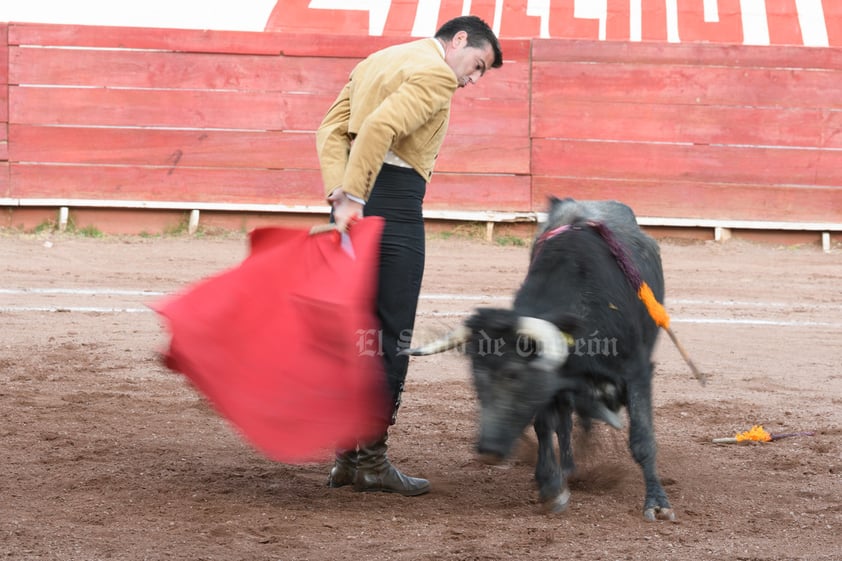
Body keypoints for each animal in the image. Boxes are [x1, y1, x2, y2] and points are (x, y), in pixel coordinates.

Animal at [406, 197, 676, 520]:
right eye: (476, 377)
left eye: (515, 375)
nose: (488, 450)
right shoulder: (553, 384)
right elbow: (547, 427)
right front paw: (551, 487)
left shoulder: (637, 372)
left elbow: (642, 437)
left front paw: (657, 502)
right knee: (567, 424)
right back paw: (569, 467)